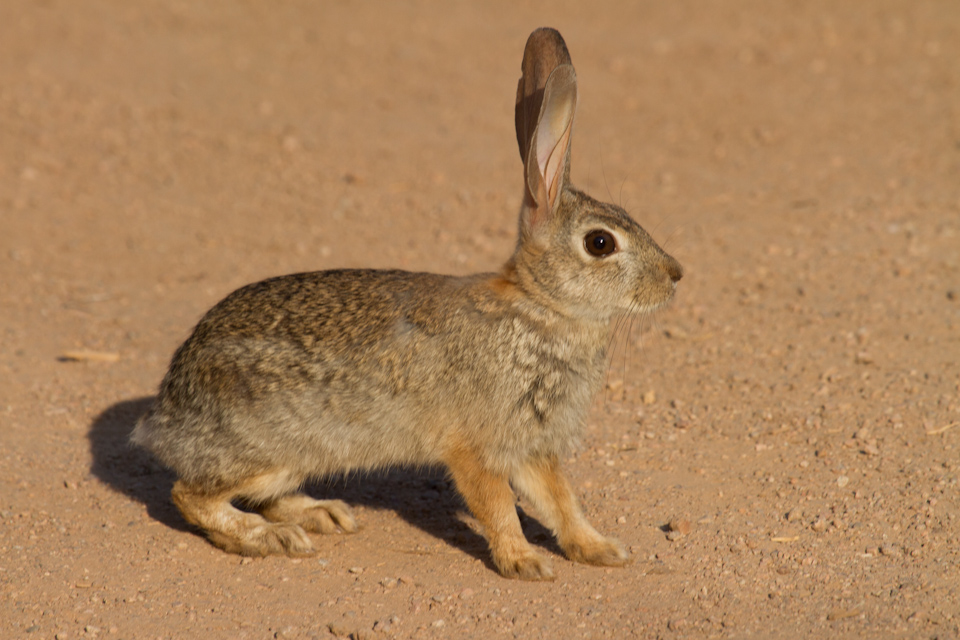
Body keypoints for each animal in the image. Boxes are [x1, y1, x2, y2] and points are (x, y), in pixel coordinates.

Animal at [131, 27, 682, 581]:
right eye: (600, 243)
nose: (675, 276)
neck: (539, 309)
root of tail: (166, 415)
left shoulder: (530, 447)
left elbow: (561, 502)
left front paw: (600, 550)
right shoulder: (475, 446)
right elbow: (500, 507)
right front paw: (524, 562)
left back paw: (322, 513)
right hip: (270, 447)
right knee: (190, 495)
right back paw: (269, 537)